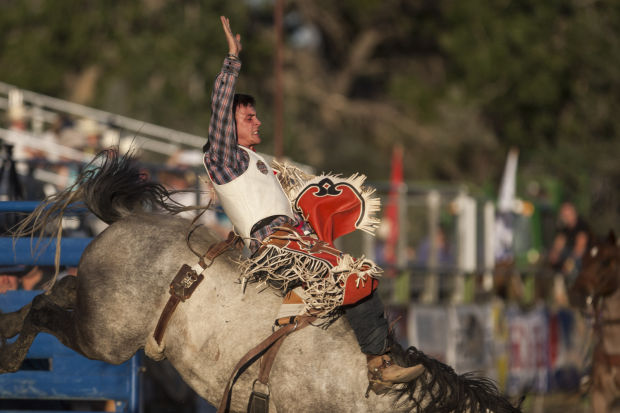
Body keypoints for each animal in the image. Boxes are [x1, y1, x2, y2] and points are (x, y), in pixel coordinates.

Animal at [0, 149, 520, 412]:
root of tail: (130, 219)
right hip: (106, 338)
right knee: (47, 308)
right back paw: (12, 353)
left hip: (101, 317)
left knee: (59, 290)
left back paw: (9, 325)